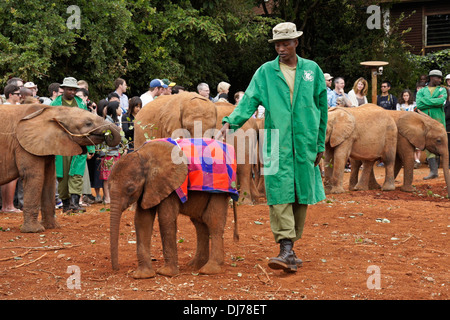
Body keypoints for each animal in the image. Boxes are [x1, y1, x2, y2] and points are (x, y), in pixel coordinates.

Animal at [109, 138, 239, 278]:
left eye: (130, 189)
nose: (116, 269)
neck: (143, 155)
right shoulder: (150, 186)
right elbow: (142, 220)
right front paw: (142, 275)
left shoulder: (168, 183)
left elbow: (165, 219)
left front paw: (166, 273)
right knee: (199, 223)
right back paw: (195, 265)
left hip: (220, 189)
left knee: (213, 220)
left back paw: (209, 269)